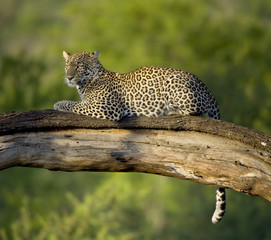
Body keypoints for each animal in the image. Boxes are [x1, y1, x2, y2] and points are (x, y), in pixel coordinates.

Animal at [54, 49, 226, 224]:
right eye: (68, 65)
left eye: (79, 65)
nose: (69, 77)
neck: (85, 83)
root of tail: (205, 87)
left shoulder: (107, 107)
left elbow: (76, 105)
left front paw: (58, 104)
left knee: (194, 111)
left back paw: (170, 111)